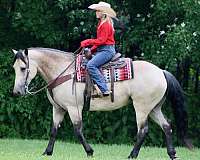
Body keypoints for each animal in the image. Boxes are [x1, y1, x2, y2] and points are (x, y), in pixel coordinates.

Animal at [11, 47, 193, 160]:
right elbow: (54, 131)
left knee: (143, 130)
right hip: (154, 108)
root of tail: (161, 71)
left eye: (23, 68)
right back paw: (172, 153)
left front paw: (90, 151)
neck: (63, 72)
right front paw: (47, 152)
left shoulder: (73, 108)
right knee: (167, 126)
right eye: (14, 68)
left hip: (141, 107)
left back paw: (132, 155)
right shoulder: (58, 109)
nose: (17, 92)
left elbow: (78, 130)